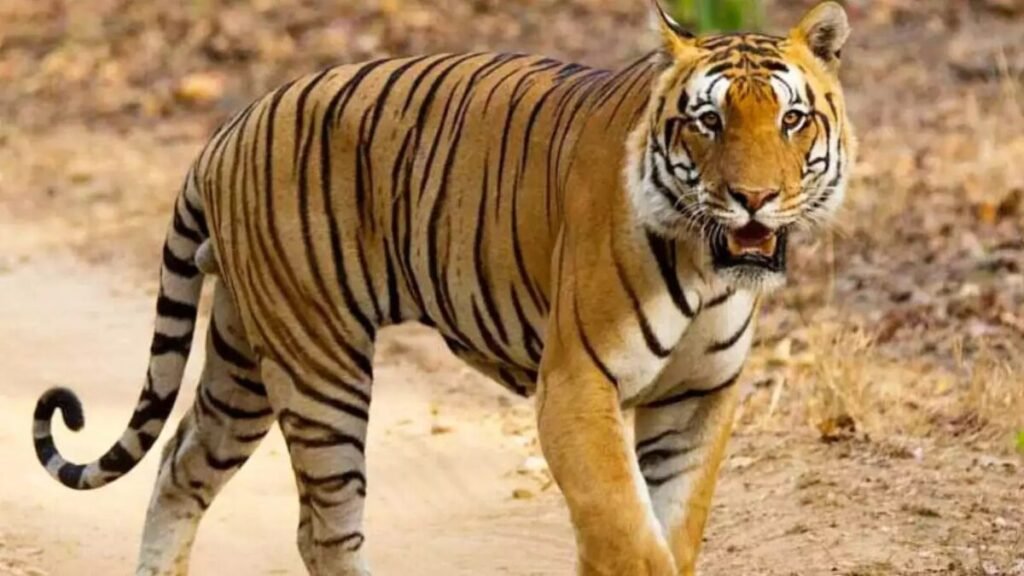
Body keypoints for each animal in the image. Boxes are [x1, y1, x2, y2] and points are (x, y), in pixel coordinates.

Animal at [31, 2, 854, 575]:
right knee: (324, 530)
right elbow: (626, 534)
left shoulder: (697, 397)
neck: (707, 268)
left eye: (792, 119)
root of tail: (229, 129)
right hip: (318, 364)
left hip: (244, 357)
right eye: (707, 122)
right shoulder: (576, 385)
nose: (754, 199)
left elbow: (667, 531)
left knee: (180, 466)